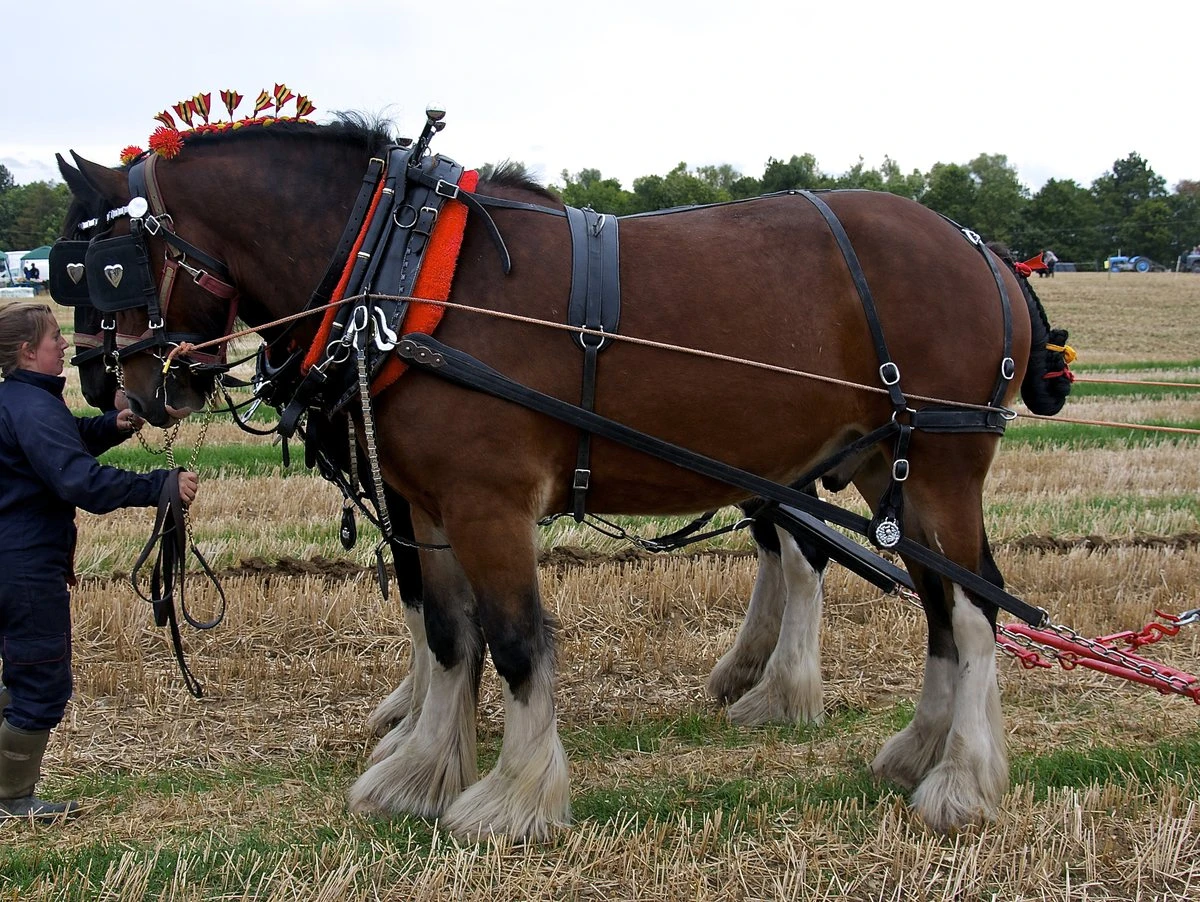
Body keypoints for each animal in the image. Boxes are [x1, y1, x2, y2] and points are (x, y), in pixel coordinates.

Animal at [57, 115, 1071, 840]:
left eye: (103, 267)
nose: (120, 388)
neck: (400, 269)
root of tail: (982, 249)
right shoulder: (426, 506)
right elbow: (446, 636)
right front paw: (420, 771)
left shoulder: (487, 504)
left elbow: (513, 641)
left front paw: (515, 799)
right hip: (873, 467)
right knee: (933, 603)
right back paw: (912, 750)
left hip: (938, 466)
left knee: (971, 610)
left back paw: (959, 780)